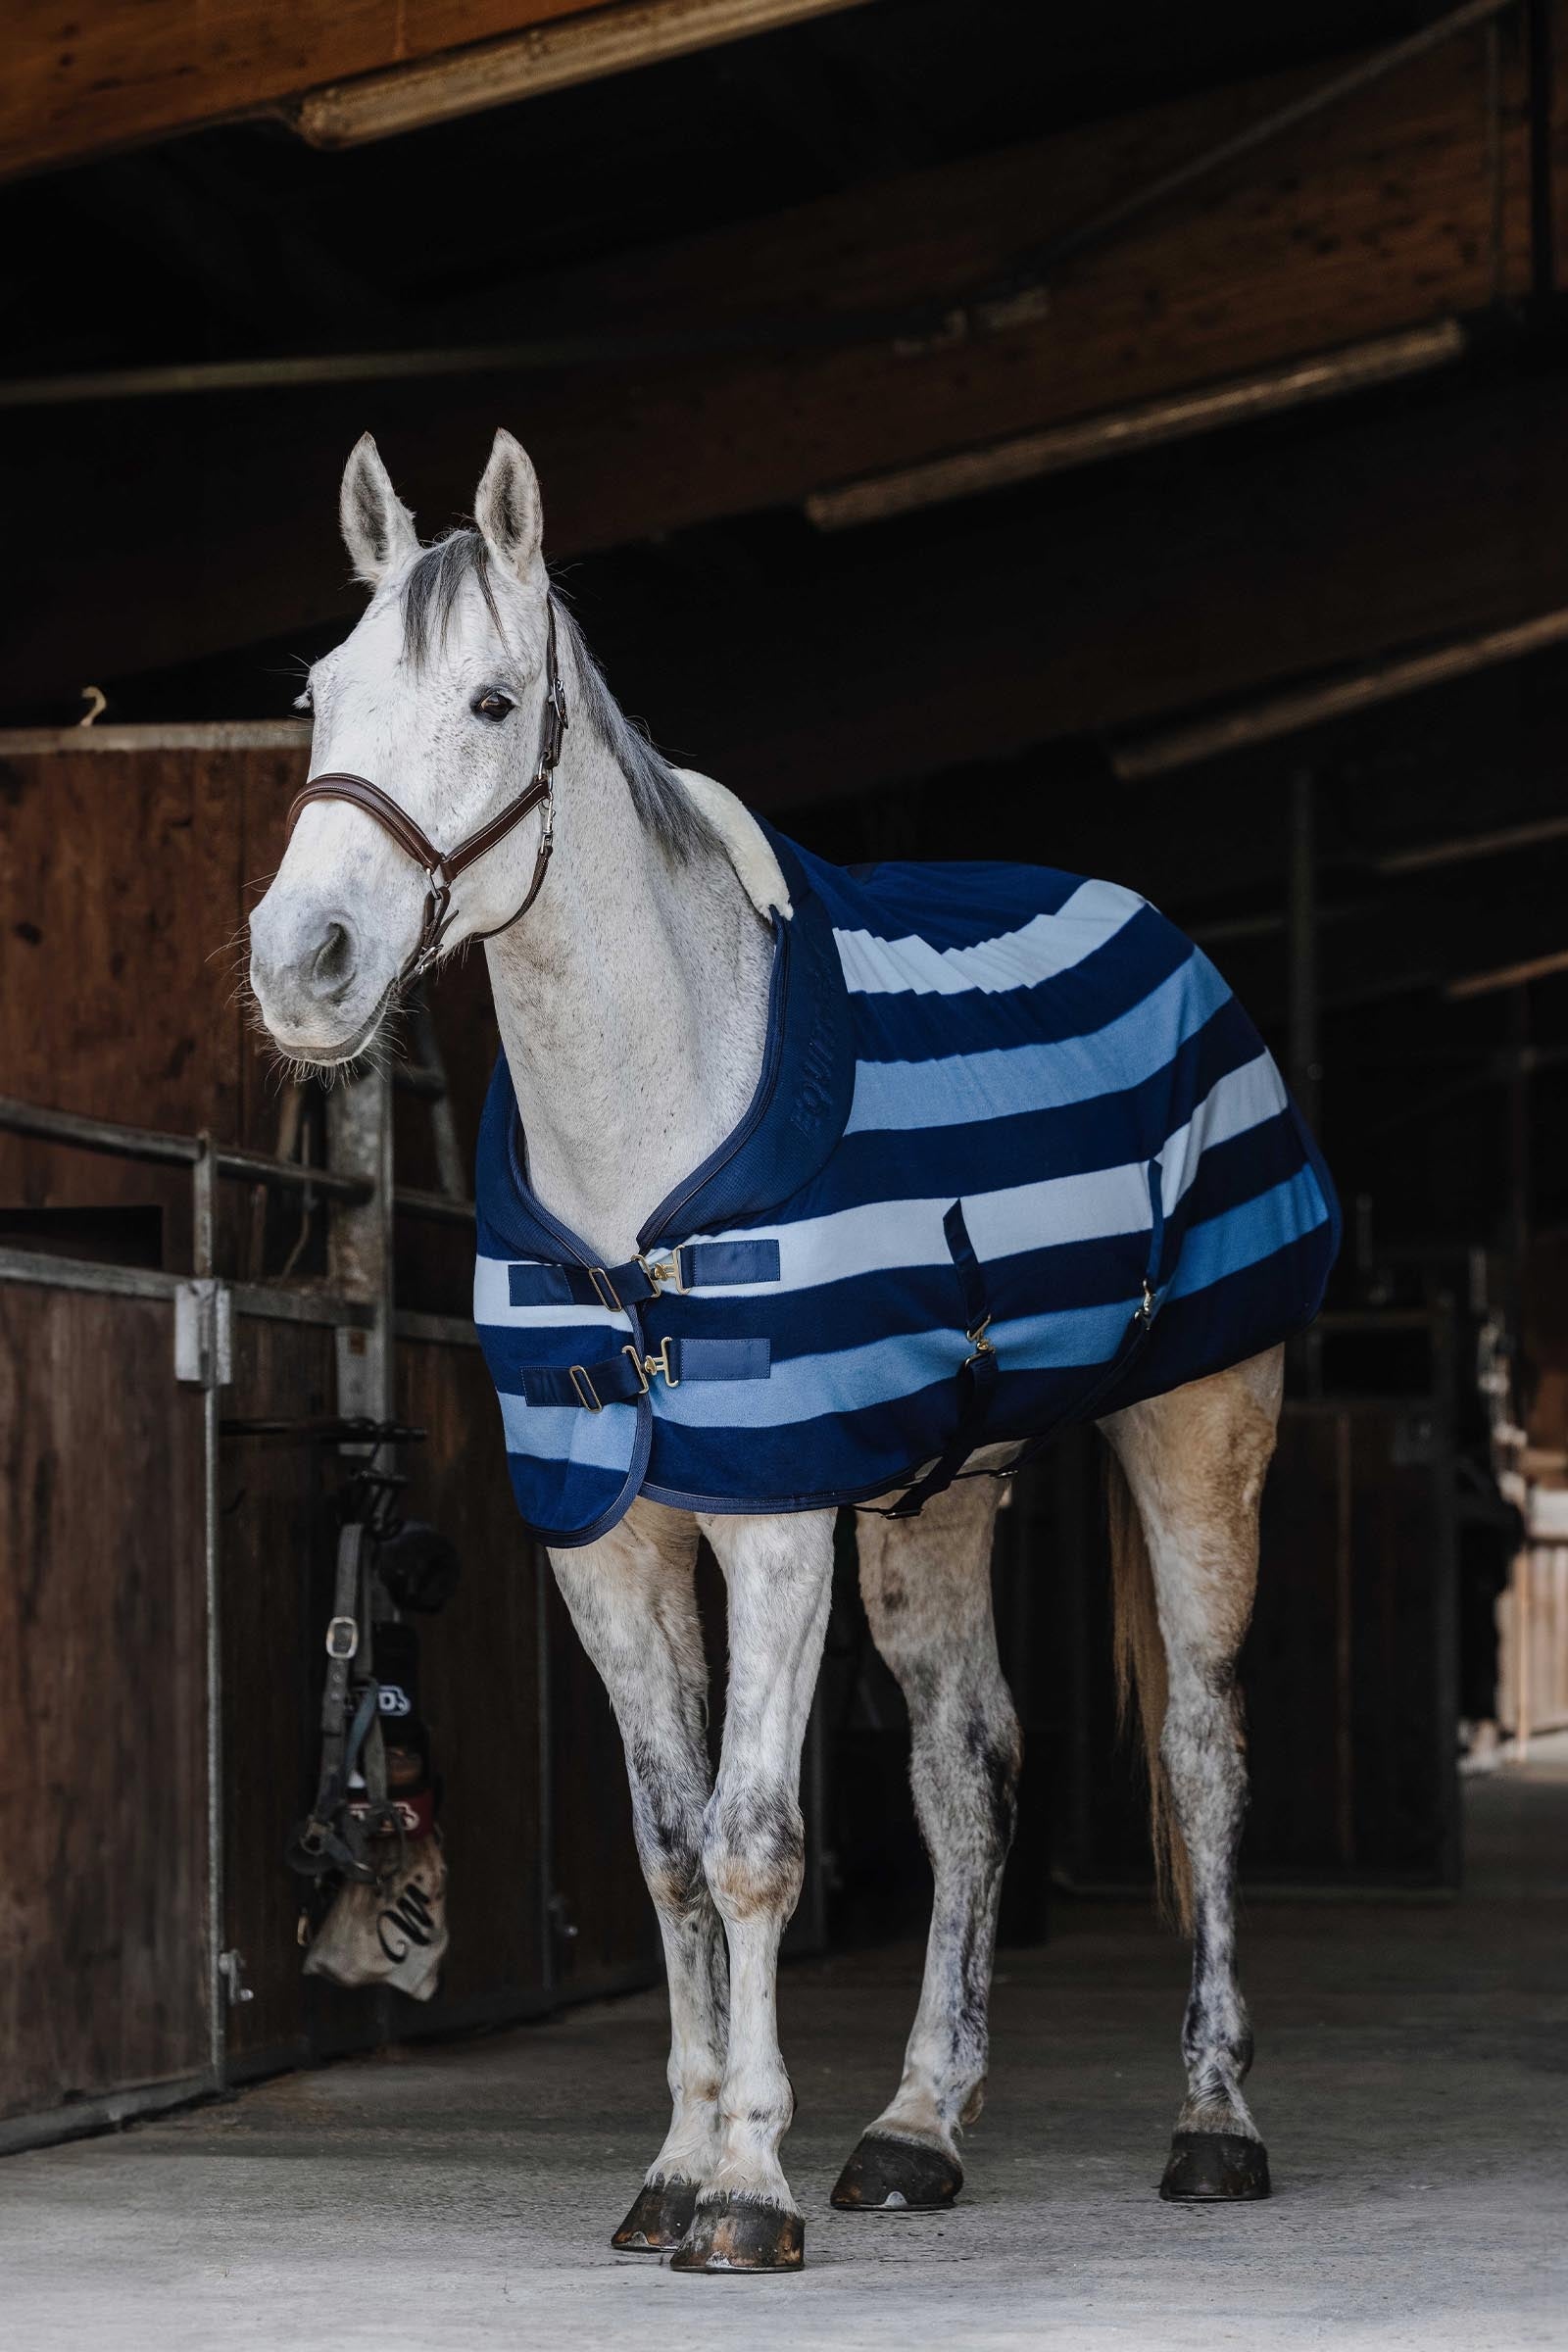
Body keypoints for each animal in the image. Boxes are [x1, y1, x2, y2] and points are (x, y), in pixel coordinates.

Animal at [248, 427, 1334, 2274]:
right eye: (320, 694)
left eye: (488, 702)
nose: (301, 965)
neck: (646, 1130)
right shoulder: (610, 1543)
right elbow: (671, 1852)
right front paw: (680, 2166)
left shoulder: (772, 1522)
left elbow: (756, 1841)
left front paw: (746, 2192)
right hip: (938, 1496)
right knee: (972, 1774)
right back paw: (914, 2131)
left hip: (1197, 1436)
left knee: (1205, 1760)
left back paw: (1214, 2124)